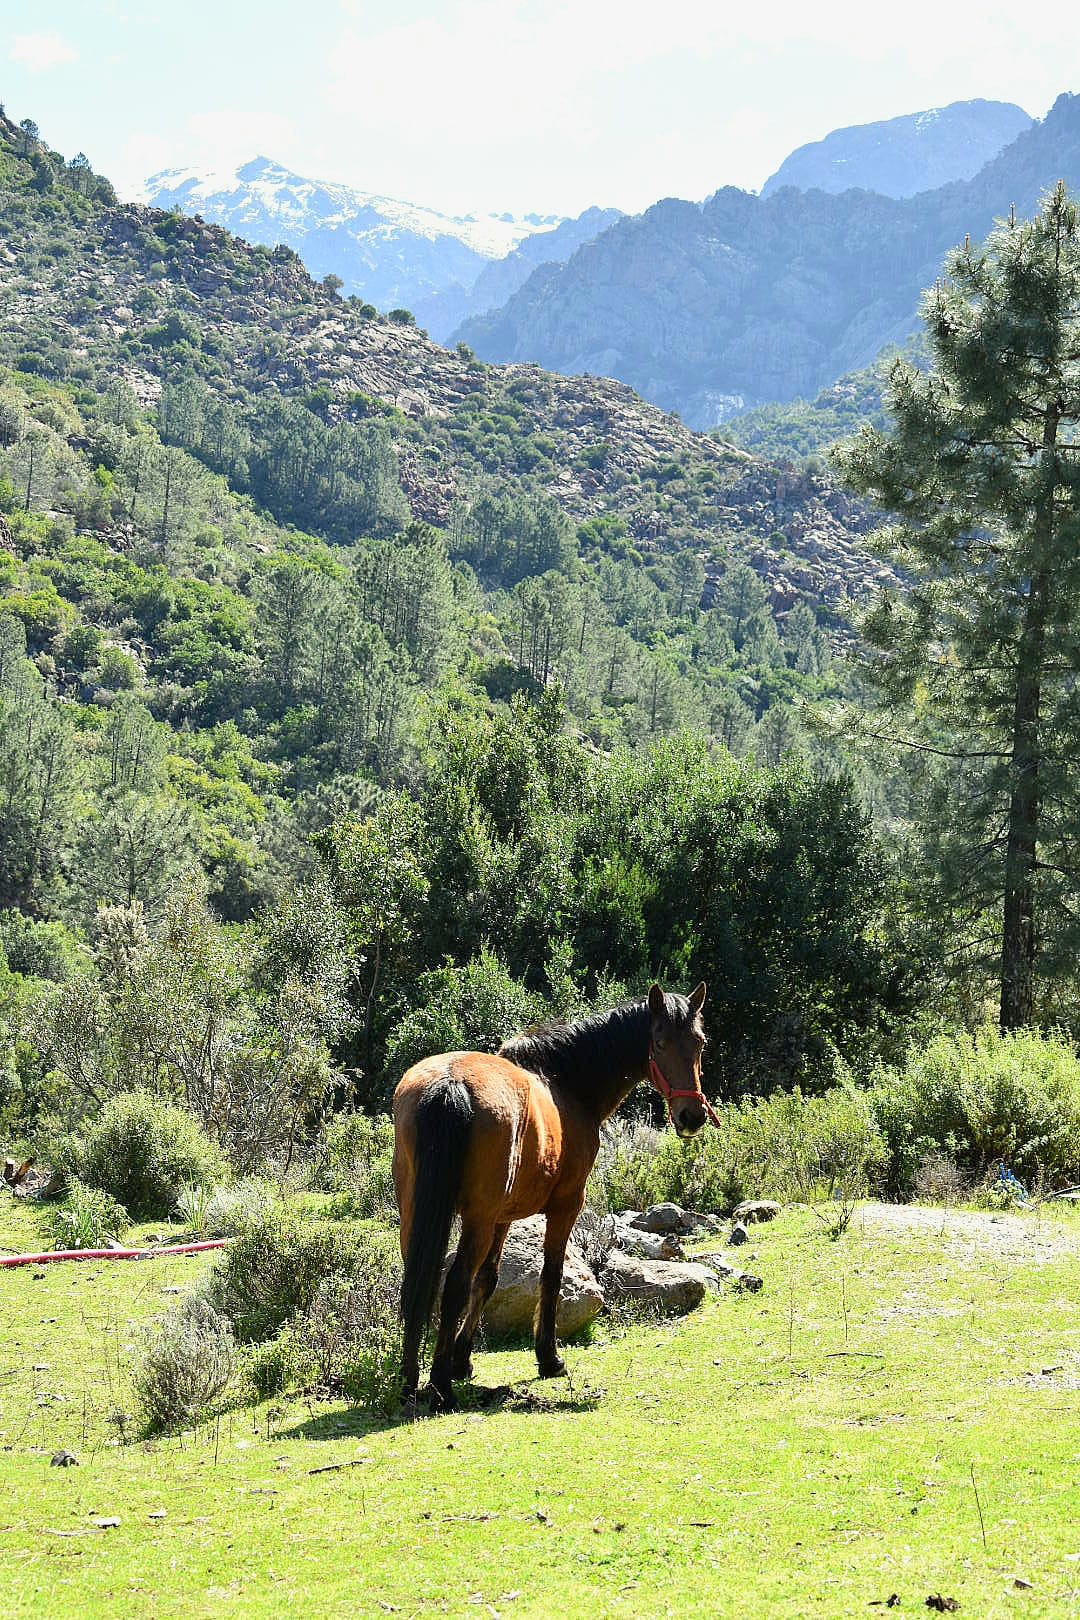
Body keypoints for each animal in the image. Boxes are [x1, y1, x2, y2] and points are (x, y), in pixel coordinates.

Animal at [393, 978, 712, 1412]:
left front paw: (463, 1359)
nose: (691, 1116)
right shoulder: (565, 1206)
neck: (565, 1082)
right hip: (475, 1221)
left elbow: (488, 1279)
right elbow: (550, 1275)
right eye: (659, 1043)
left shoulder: (502, 1218)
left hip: (420, 1216)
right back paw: (440, 1386)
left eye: (698, 1042)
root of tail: (449, 1084)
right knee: (454, 1283)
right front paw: (548, 1357)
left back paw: (410, 1380)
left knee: (419, 1281)